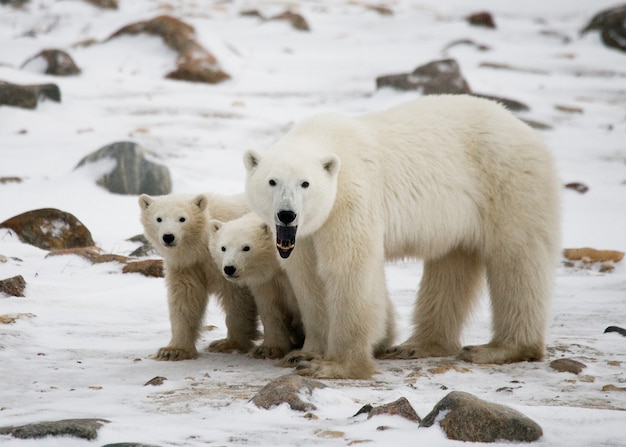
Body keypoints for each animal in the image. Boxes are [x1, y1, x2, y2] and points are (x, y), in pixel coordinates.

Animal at [241, 95, 560, 382]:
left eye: (305, 183)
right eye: (272, 181)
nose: (287, 214)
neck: (324, 139)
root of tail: (526, 130)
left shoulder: (352, 197)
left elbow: (349, 270)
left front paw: (335, 366)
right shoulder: (306, 234)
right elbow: (309, 280)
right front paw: (306, 353)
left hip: (509, 182)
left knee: (517, 259)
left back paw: (500, 348)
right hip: (456, 215)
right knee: (451, 265)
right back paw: (417, 345)